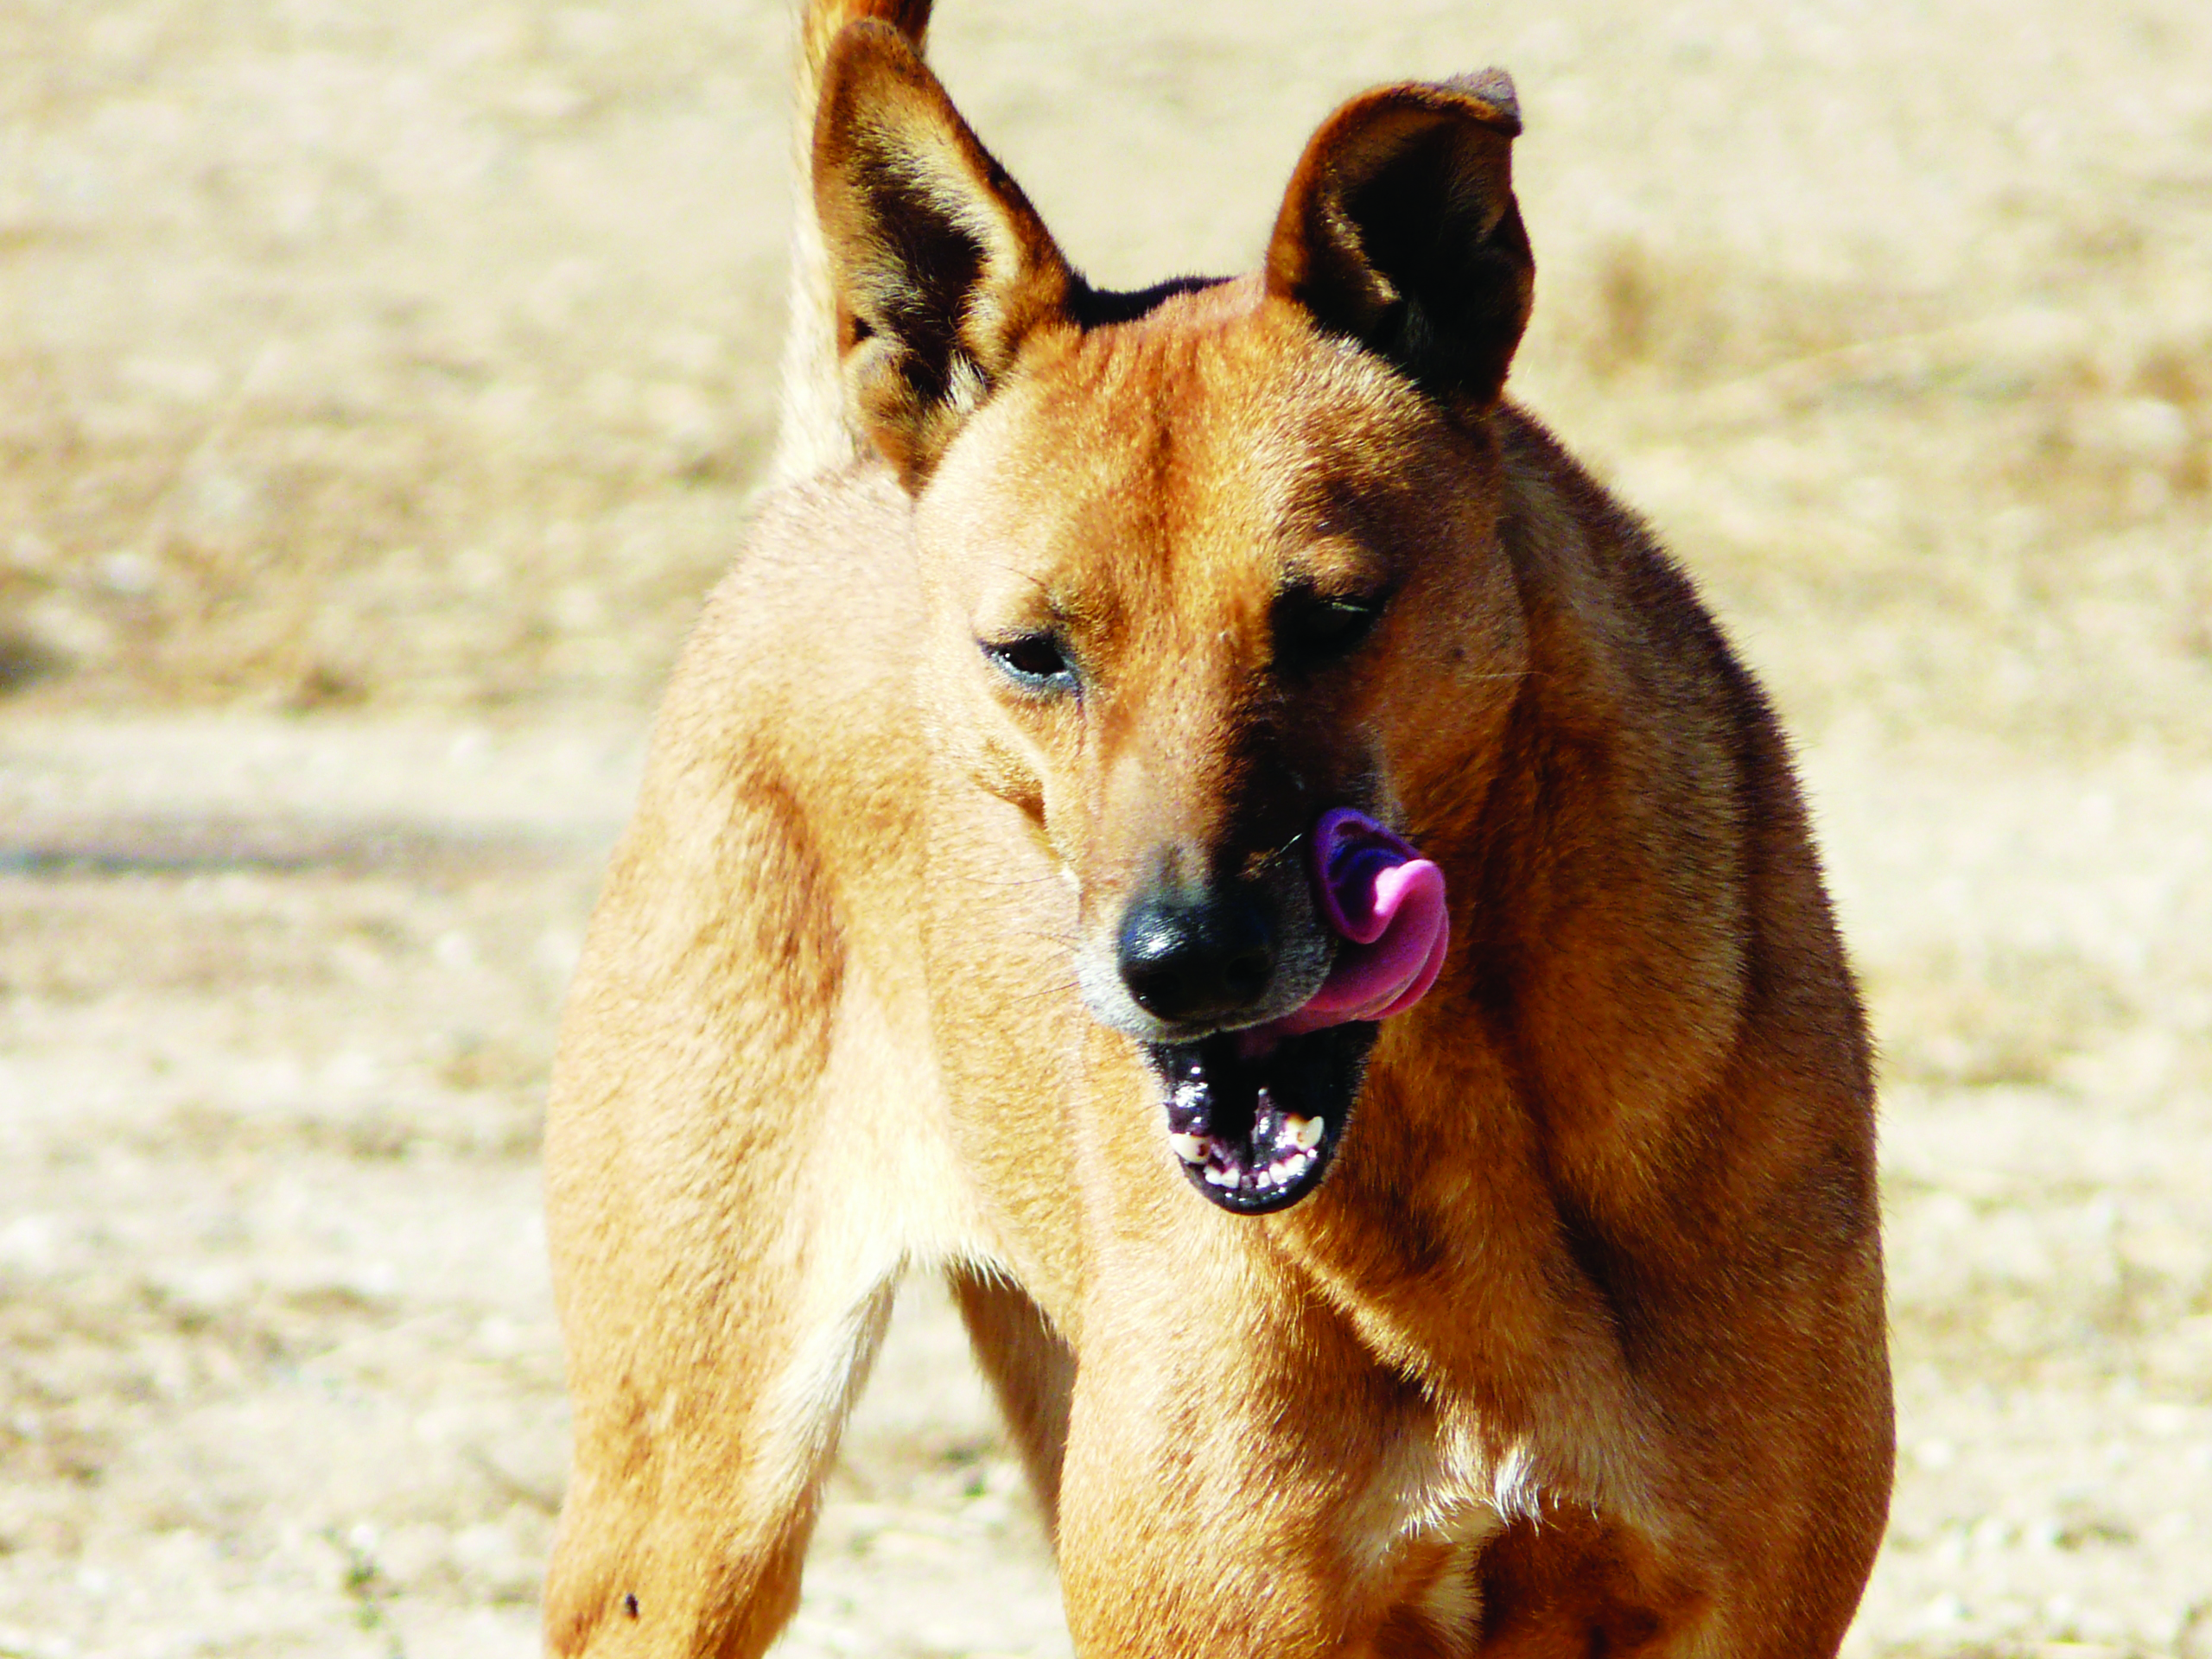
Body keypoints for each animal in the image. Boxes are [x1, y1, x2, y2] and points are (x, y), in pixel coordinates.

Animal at [543, 6, 1893, 1654]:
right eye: (1033, 654)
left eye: (1331, 616)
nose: (1181, 964)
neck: (1463, 1139)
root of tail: (826, 486)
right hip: (685, 1517)